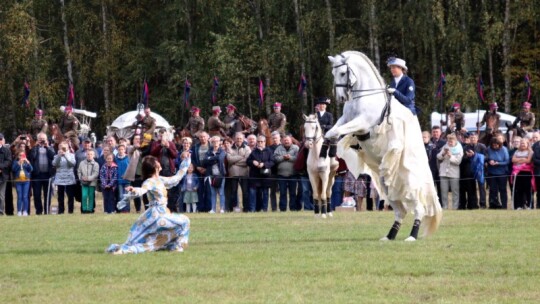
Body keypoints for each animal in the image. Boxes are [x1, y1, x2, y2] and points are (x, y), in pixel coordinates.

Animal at [324, 51, 442, 242]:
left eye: (342, 73)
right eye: (333, 74)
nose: (341, 98)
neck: (364, 96)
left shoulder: (361, 123)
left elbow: (336, 131)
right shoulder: (345, 119)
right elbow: (330, 132)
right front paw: (326, 149)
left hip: (408, 181)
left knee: (419, 208)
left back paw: (412, 235)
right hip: (386, 183)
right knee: (400, 211)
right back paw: (390, 235)